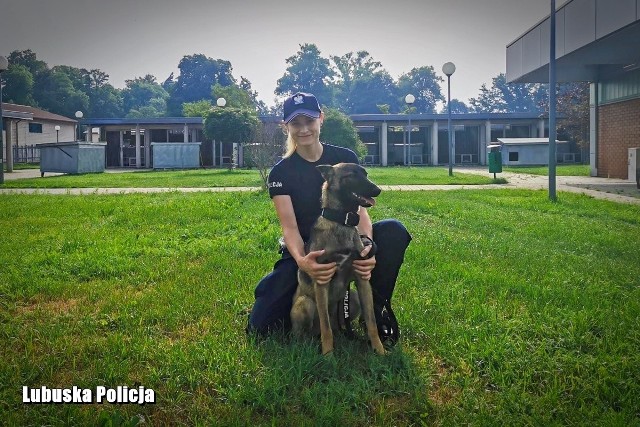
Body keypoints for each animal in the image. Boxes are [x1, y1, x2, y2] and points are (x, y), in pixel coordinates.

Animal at [290, 162, 384, 356]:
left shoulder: (362, 280)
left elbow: (371, 322)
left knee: (334, 327)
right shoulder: (322, 281)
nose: (377, 190)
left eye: (365, 174)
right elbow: (326, 328)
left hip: (353, 299)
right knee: (309, 332)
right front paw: (328, 355)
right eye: (351, 175)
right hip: (305, 304)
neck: (342, 222)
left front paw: (379, 350)